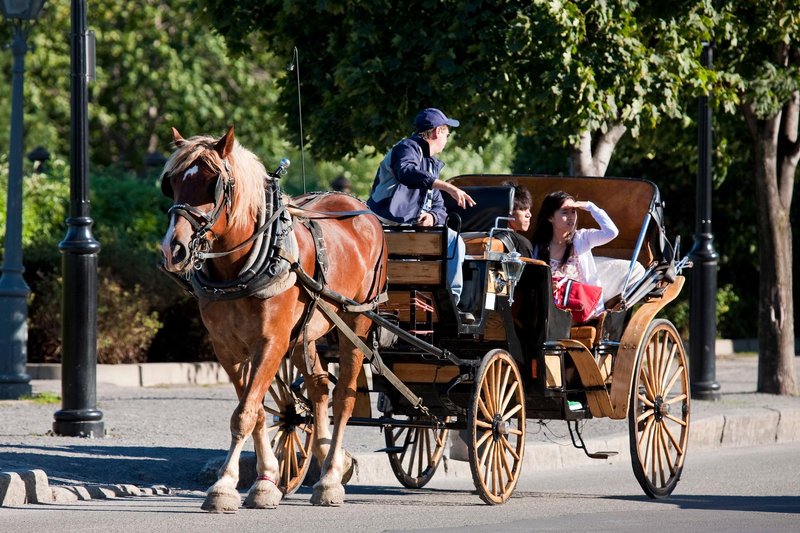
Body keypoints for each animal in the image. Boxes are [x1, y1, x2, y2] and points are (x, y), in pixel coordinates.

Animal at [159, 125, 388, 512]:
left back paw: (330, 478)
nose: (172, 249)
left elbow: (244, 414)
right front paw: (265, 480)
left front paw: (224, 486)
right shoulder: (227, 349)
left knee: (344, 396)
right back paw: (327, 460)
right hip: (304, 333)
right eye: (172, 183)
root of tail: (361, 208)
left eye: (212, 183)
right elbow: (255, 412)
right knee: (319, 387)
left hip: (355, 323)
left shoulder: (271, 342)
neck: (240, 267)